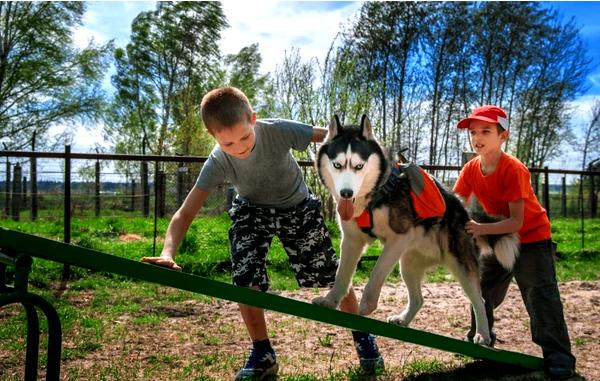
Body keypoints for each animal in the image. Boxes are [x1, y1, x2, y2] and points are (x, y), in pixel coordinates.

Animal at [312, 113, 516, 344]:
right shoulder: (352, 241)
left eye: (359, 166)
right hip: (408, 264)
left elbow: (376, 274)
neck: (375, 194)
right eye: (337, 165)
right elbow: (341, 276)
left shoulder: (399, 238)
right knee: (418, 299)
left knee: (479, 300)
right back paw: (403, 319)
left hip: (461, 267)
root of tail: (466, 213)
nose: (346, 193)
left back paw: (482, 334)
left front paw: (365, 307)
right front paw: (330, 301)